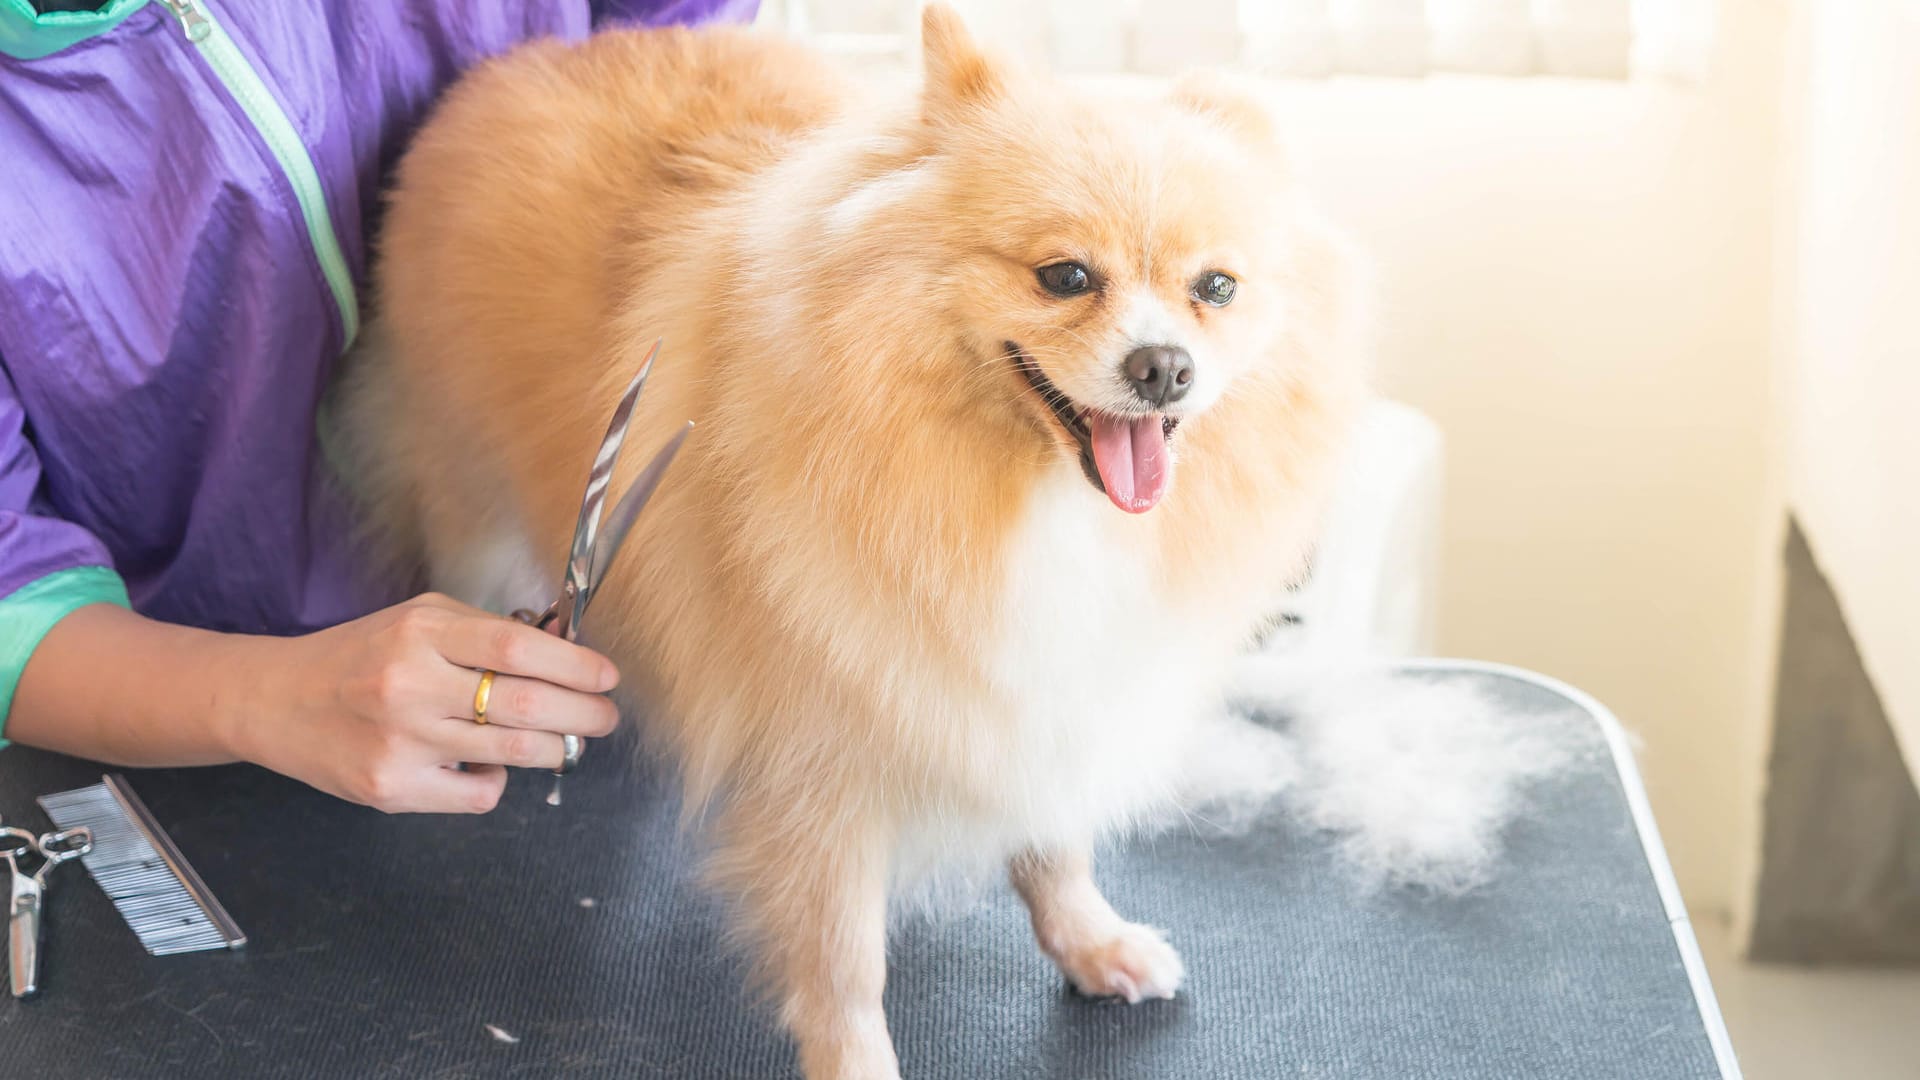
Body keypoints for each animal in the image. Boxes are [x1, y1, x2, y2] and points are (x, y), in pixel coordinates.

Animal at [345, 4, 1367, 1068]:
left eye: (1218, 288)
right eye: (1065, 276)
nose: (1164, 367)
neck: (1027, 493)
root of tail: (525, 64)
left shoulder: (1042, 691)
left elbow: (1054, 841)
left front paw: (1090, 941)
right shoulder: (822, 759)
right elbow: (843, 959)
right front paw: (856, 1063)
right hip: (465, 499)